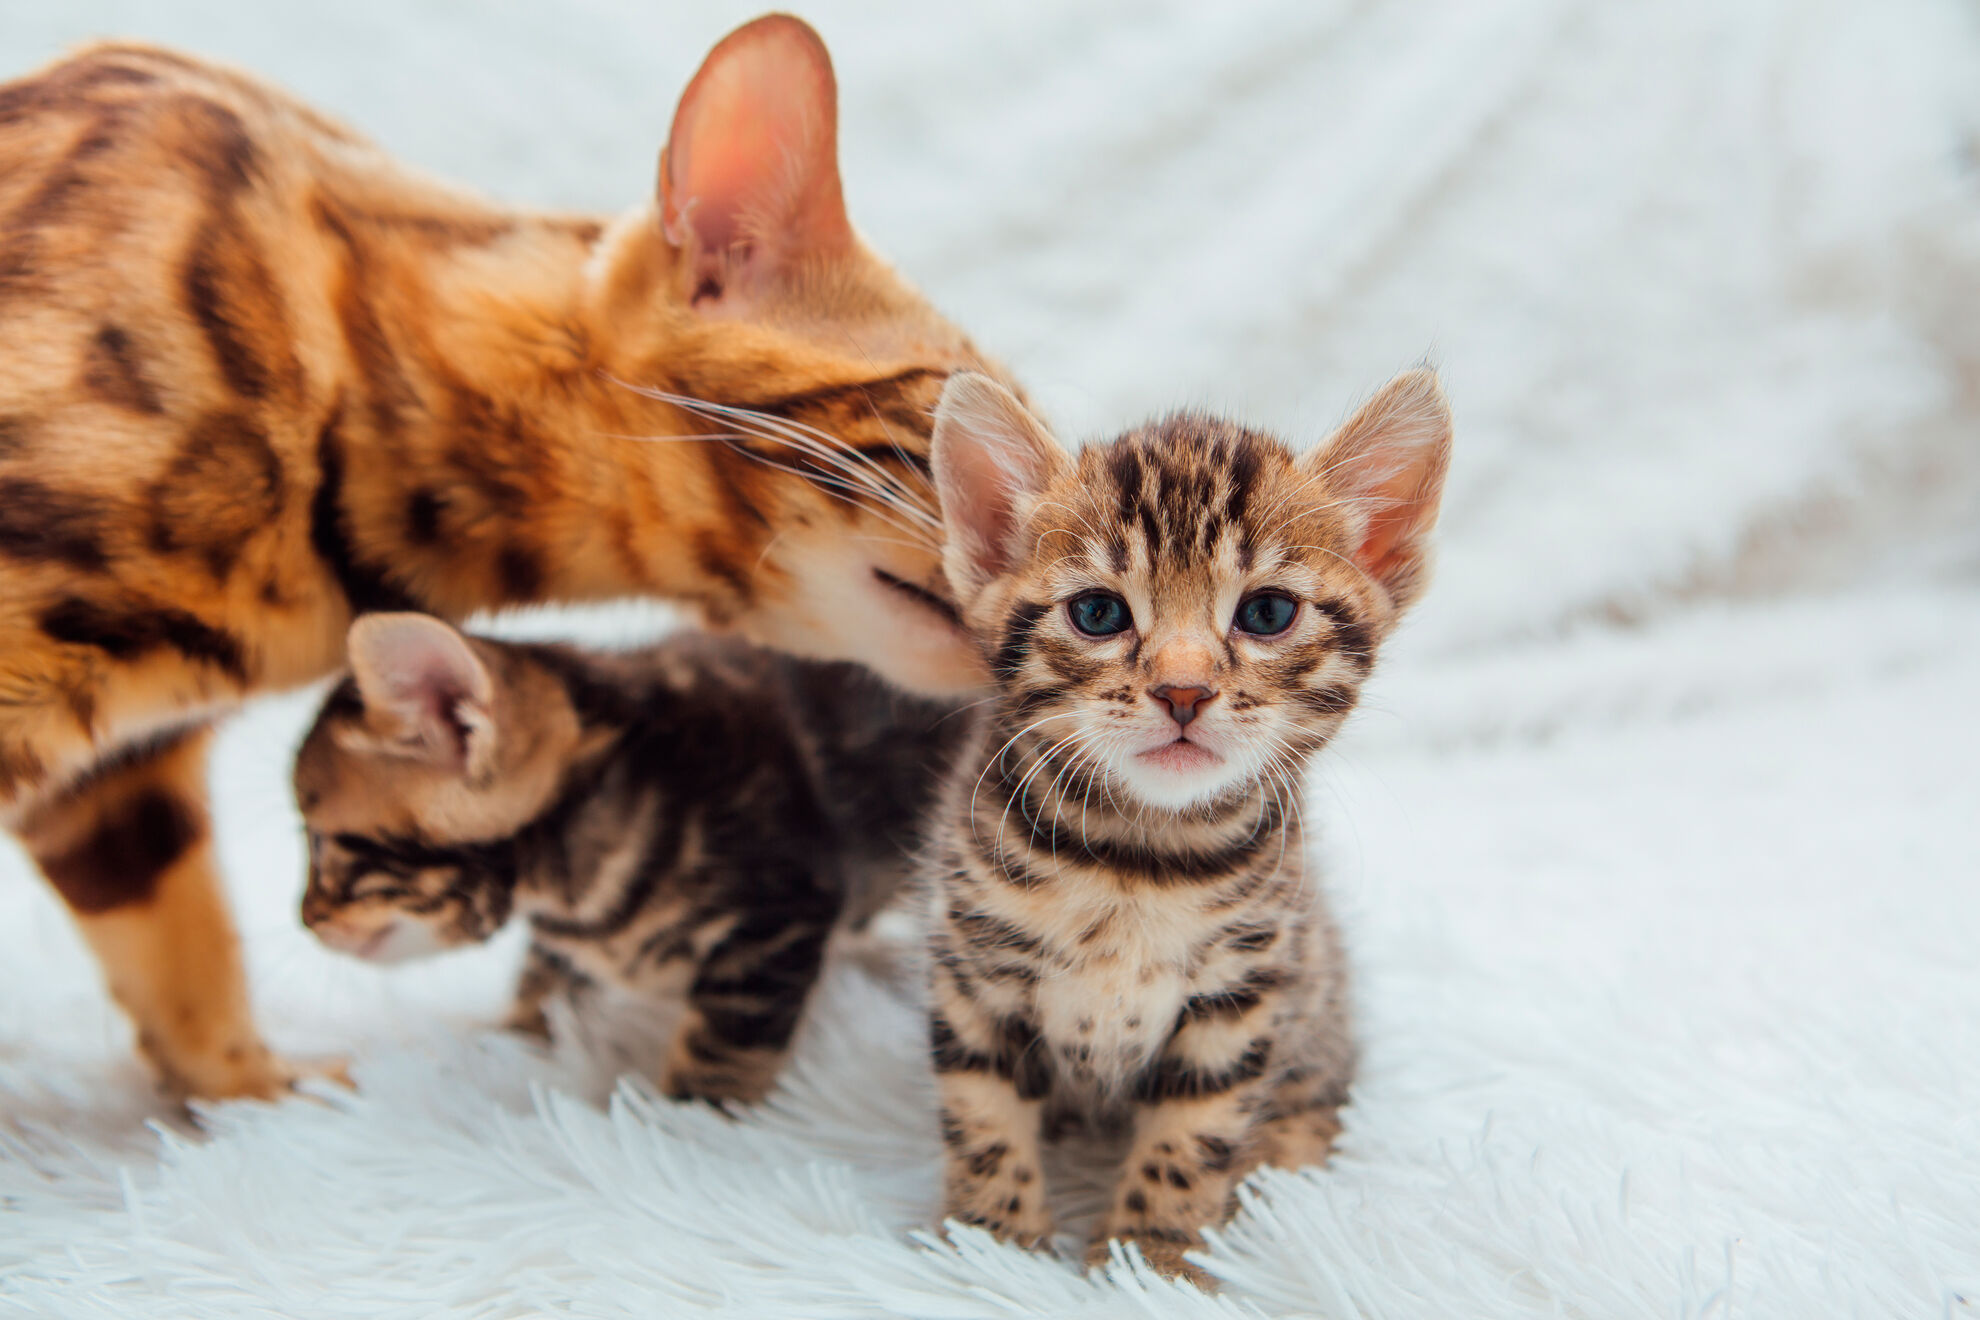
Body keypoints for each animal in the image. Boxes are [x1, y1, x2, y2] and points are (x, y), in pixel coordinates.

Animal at [295, 617, 966, 1108]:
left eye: (324, 844)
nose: (306, 920)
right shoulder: (563, 945)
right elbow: (537, 993)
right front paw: (505, 1040)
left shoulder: (775, 927)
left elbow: (721, 1049)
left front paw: (684, 1125)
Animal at [914, 370, 1457, 1282]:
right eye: (1098, 614)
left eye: (1267, 613)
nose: (1183, 690)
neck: (1138, 858)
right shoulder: (973, 973)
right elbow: (983, 1115)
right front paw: (990, 1249)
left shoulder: (1242, 994)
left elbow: (1192, 1134)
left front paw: (1152, 1259)